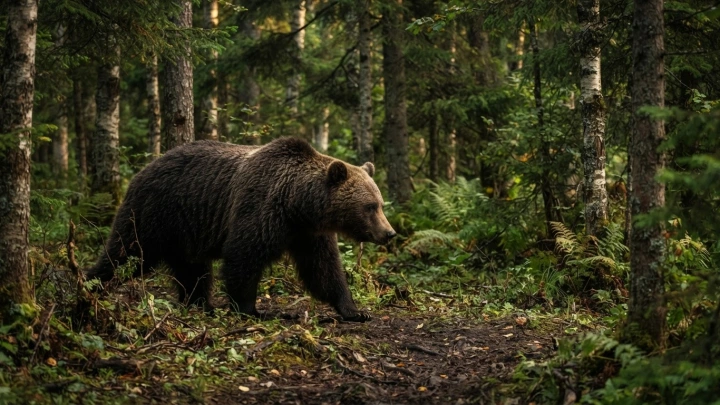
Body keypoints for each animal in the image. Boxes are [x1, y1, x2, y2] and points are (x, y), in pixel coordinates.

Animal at [86, 137, 396, 322]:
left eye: (380, 203)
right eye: (370, 206)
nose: (389, 233)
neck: (297, 204)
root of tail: (142, 169)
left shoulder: (308, 233)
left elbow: (323, 269)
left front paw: (355, 310)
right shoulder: (260, 207)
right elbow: (244, 257)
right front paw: (253, 309)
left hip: (186, 230)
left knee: (192, 269)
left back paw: (201, 304)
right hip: (155, 213)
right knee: (126, 252)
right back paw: (90, 286)